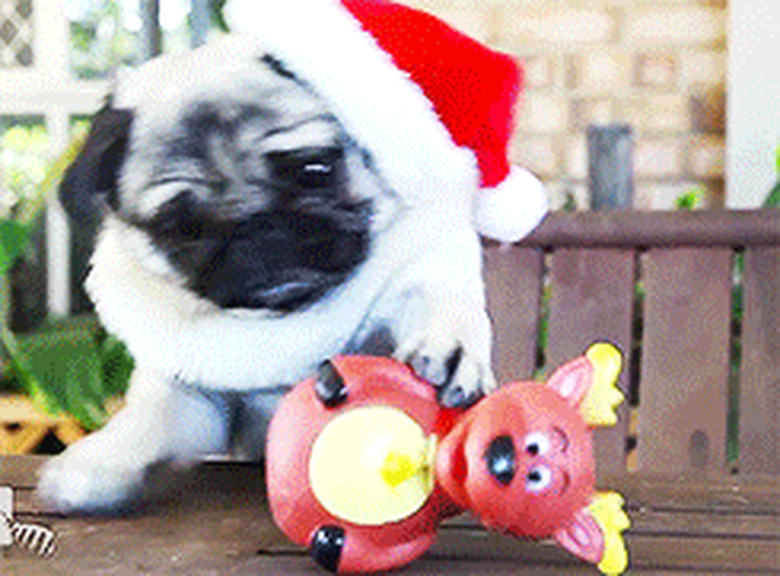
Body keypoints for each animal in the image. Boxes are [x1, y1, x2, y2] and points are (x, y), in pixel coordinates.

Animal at [36, 36, 496, 512]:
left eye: (315, 170)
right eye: (180, 227)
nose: (255, 225)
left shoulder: (418, 271)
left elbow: (436, 302)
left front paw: (449, 348)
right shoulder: (193, 397)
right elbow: (150, 417)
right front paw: (102, 459)